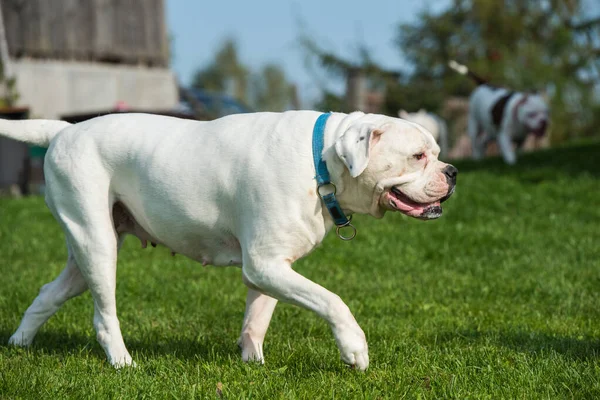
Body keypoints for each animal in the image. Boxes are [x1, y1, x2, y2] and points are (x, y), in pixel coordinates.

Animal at [2, 111, 458, 370]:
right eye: (418, 156)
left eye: (437, 152)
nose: (452, 172)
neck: (321, 160)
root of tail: (65, 130)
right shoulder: (265, 263)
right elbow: (332, 301)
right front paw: (354, 349)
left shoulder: (272, 267)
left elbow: (258, 317)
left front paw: (252, 361)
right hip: (97, 244)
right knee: (103, 316)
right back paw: (122, 362)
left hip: (85, 254)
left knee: (47, 294)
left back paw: (19, 344)